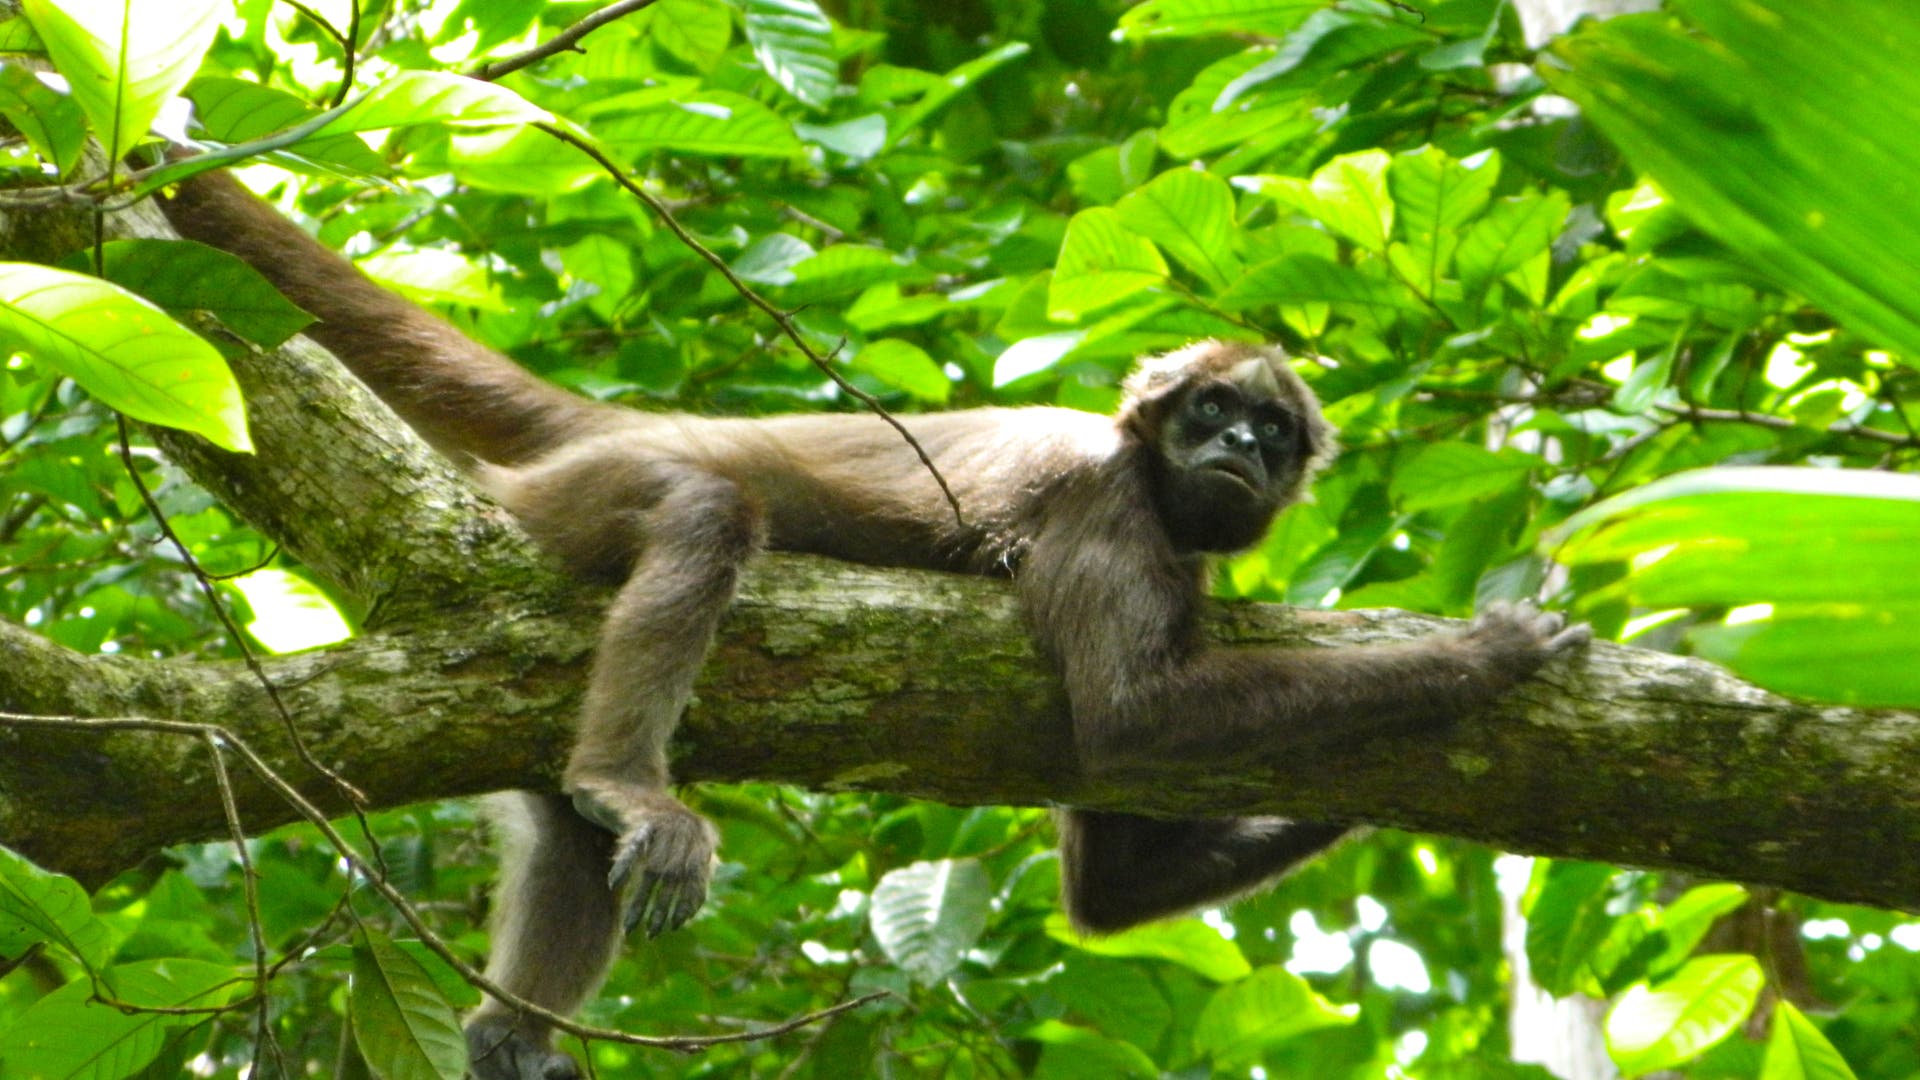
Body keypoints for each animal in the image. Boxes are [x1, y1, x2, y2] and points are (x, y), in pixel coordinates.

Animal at [157, 170, 1582, 1076]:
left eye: (1271, 432)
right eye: (1207, 413)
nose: (1235, 448)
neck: (1160, 493)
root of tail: (625, 422)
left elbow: (1112, 891)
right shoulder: (1110, 501)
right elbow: (1130, 722)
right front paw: (1479, 659)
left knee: (561, 827)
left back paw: (515, 1033)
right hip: (582, 497)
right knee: (704, 513)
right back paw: (629, 776)